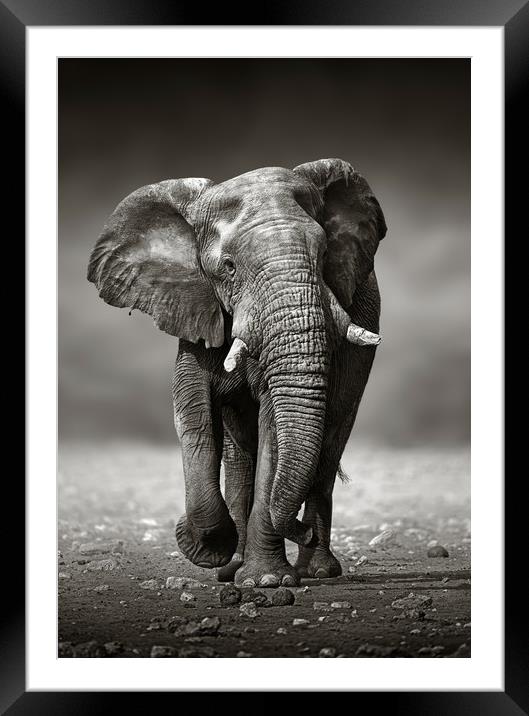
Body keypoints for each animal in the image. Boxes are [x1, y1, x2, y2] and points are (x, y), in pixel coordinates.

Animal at [85, 161, 384, 588]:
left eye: (325, 253)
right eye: (228, 268)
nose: (303, 532)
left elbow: (273, 427)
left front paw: (266, 581)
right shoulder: (195, 307)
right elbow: (193, 414)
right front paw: (208, 550)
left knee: (329, 443)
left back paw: (317, 570)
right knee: (239, 454)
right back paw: (232, 567)